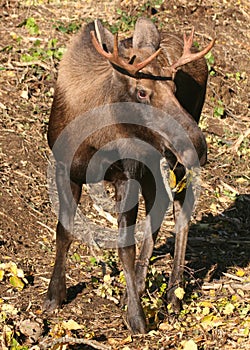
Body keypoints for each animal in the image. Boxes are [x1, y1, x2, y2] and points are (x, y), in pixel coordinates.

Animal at [44, 17, 215, 334]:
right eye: (142, 91)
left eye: (175, 86)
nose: (198, 145)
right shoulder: (65, 167)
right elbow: (64, 231)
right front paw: (54, 295)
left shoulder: (127, 174)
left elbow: (125, 246)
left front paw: (137, 318)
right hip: (155, 158)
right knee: (160, 203)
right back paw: (138, 285)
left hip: (170, 158)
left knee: (181, 207)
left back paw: (172, 295)